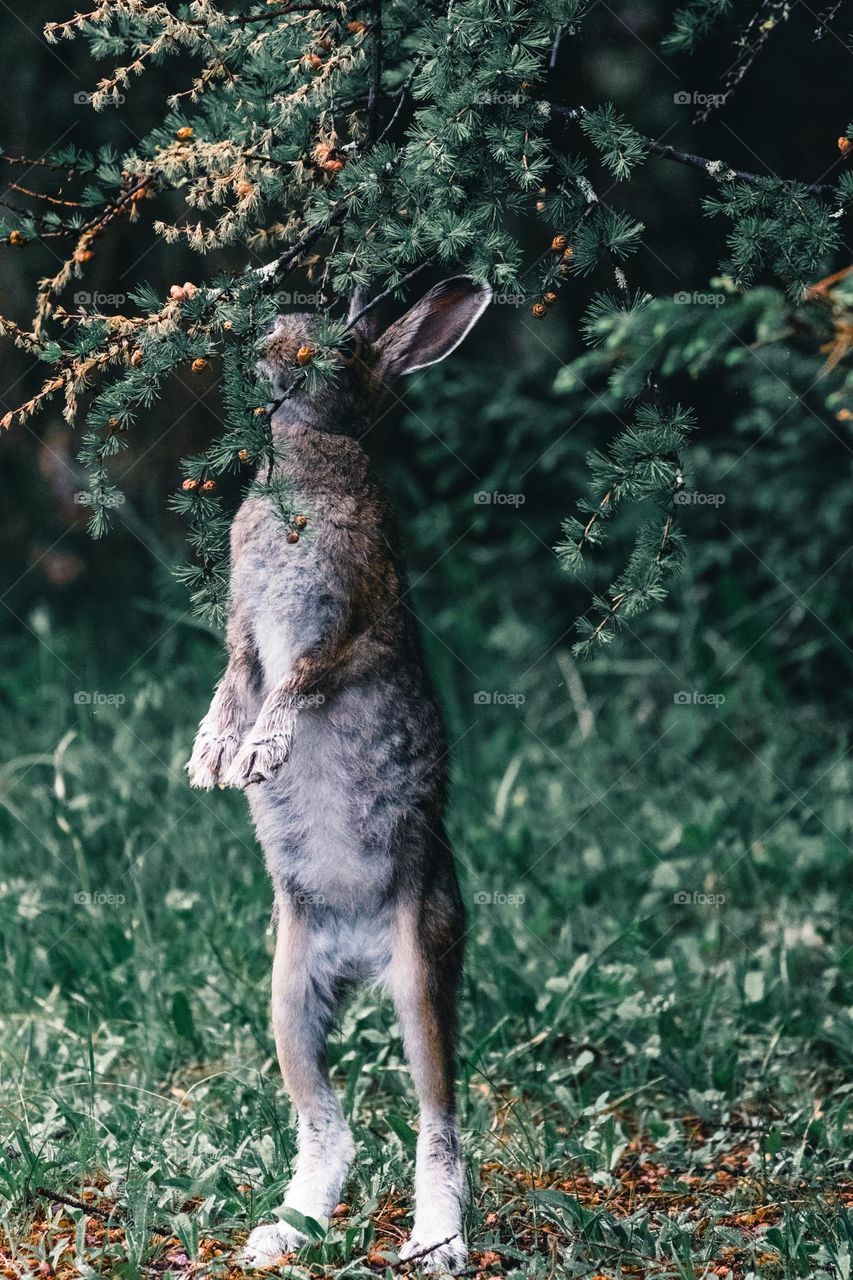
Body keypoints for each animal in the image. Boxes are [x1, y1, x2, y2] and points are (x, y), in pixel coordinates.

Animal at [186, 277, 492, 1272]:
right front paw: (212, 756)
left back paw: (436, 1243)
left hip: (422, 969)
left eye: (344, 347)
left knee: (439, 1119)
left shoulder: (345, 624)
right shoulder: (246, 631)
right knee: (329, 1125)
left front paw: (260, 752)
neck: (308, 466)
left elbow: (299, 682)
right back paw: (280, 1233)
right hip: (289, 991)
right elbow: (236, 678)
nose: (268, 346)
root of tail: (358, 958)